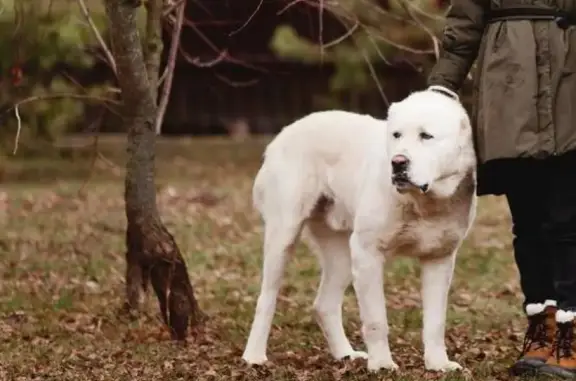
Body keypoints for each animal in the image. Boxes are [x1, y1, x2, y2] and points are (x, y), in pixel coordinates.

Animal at [242, 87, 476, 372]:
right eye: (396, 135)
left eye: (426, 136)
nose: (398, 162)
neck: (423, 203)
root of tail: (283, 133)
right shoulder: (368, 253)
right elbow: (376, 319)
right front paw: (382, 364)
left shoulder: (439, 260)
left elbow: (435, 321)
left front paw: (438, 363)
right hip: (283, 237)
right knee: (266, 299)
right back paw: (254, 356)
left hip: (342, 253)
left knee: (324, 304)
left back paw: (345, 354)